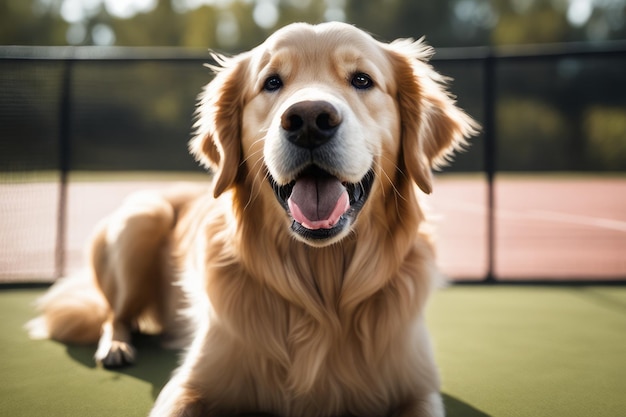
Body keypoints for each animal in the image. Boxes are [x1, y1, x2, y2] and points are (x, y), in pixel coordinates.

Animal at [28, 22, 472, 416]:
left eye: (362, 80)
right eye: (272, 83)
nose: (309, 120)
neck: (321, 291)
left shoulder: (417, 391)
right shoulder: (187, 386)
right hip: (142, 218)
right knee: (114, 314)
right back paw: (117, 346)